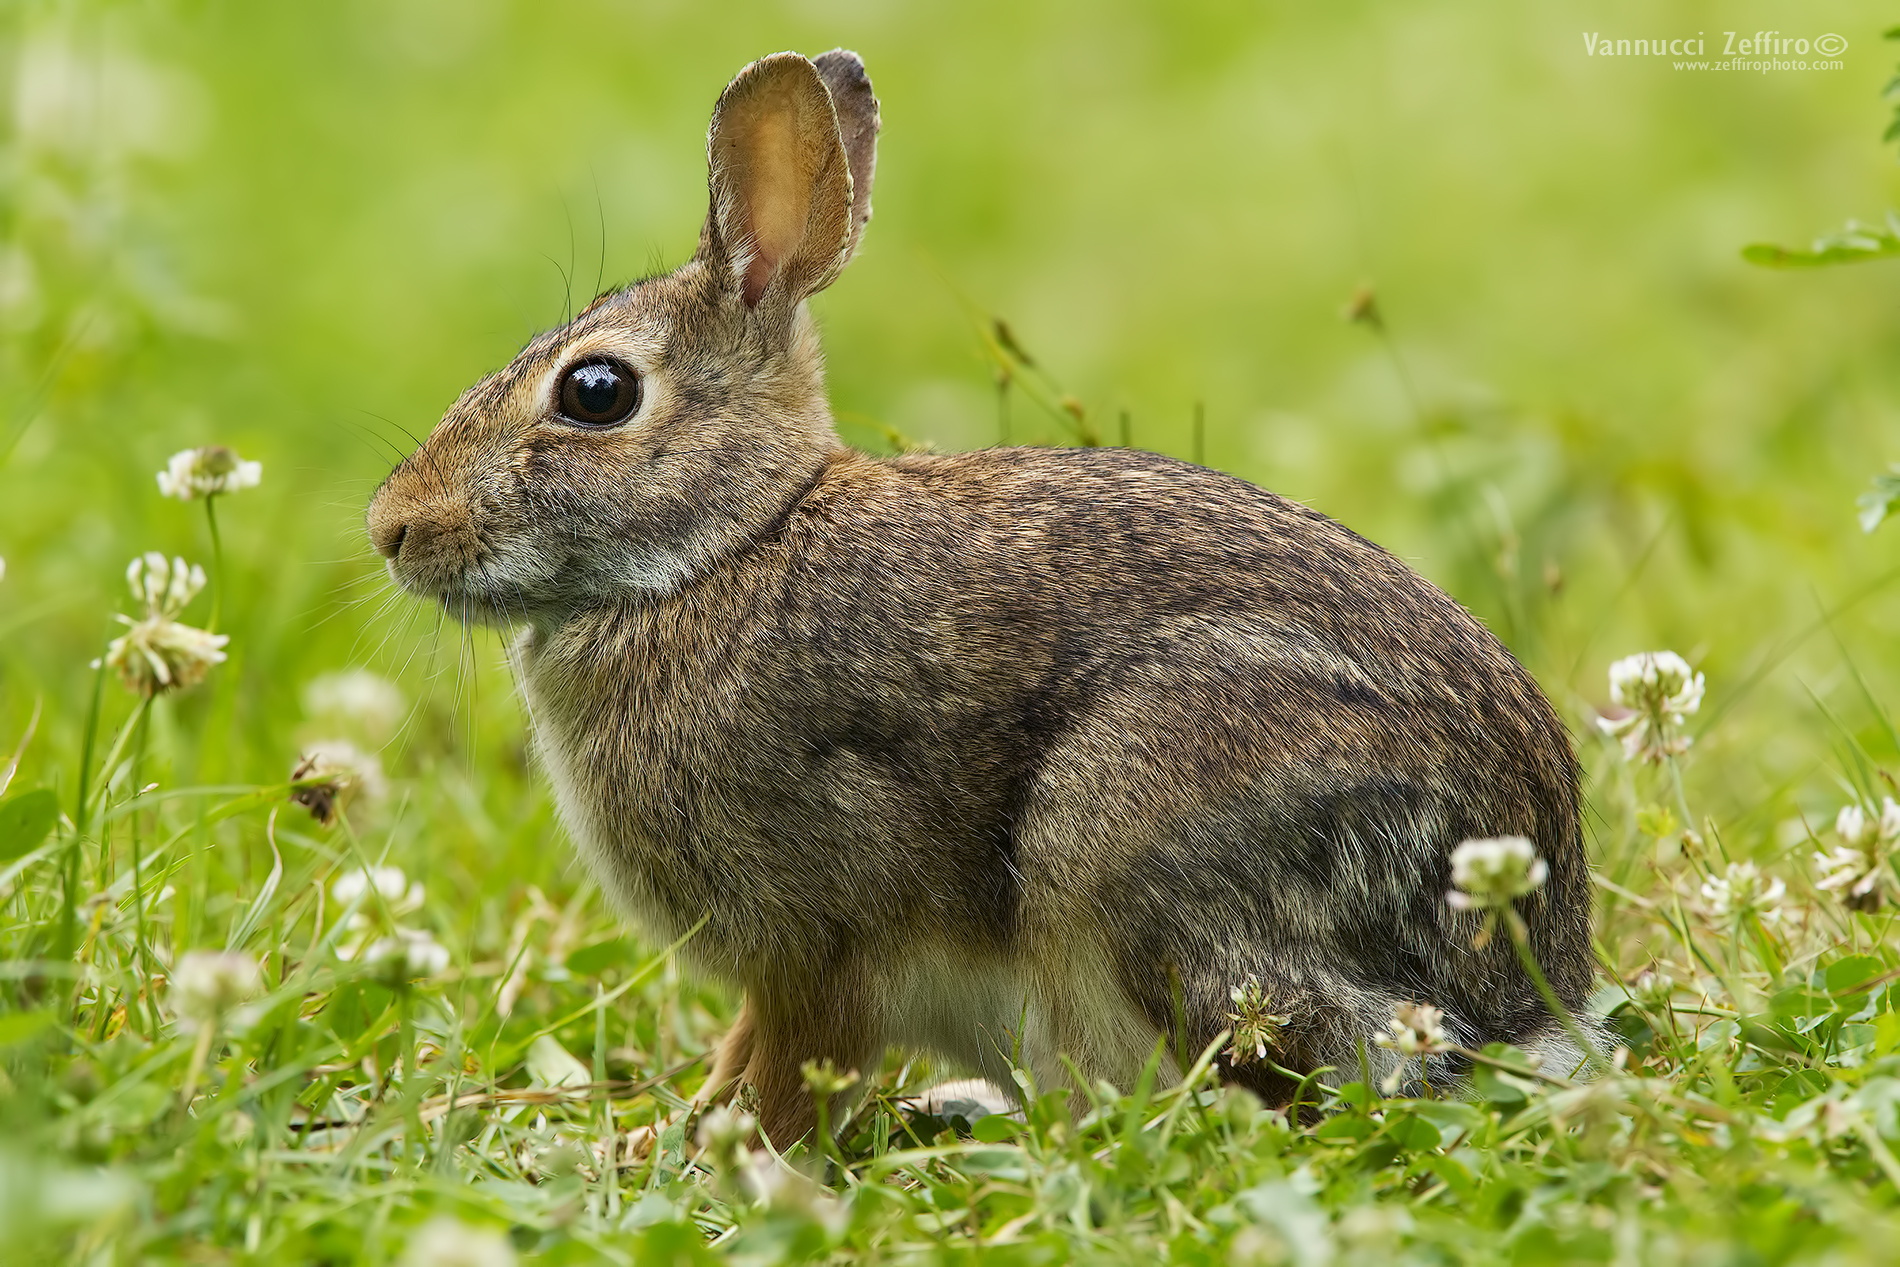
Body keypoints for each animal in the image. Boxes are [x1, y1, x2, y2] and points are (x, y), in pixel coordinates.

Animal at [366, 48, 1600, 1146]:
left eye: (596, 391)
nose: (392, 529)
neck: (727, 549)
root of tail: (1531, 983)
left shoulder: (818, 936)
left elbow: (794, 1064)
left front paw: (727, 1155)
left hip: (1136, 832)